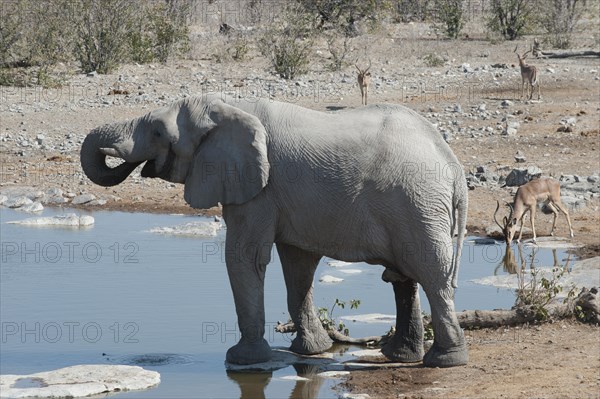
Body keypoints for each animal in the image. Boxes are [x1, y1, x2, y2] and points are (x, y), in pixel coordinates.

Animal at [79, 94, 466, 368]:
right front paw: (311, 351)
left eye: (159, 132)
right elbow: (297, 265)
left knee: (431, 273)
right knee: (404, 276)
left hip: (417, 202)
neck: (226, 107)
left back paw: (444, 361)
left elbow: (243, 257)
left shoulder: (258, 188)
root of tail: (453, 165)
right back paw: (400, 356)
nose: (122, 158)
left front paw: (241, 359)